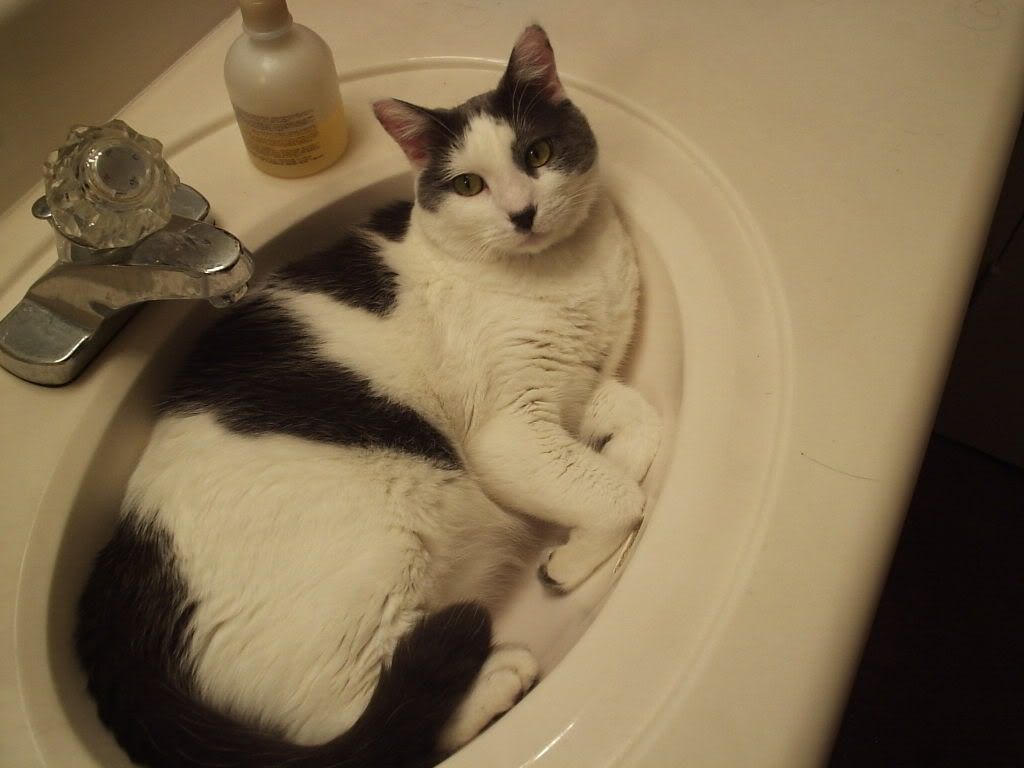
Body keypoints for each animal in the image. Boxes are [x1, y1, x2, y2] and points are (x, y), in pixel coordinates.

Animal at [74, 24, 663, 768]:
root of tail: (122, 576)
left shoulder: (574, 391)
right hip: (378, 549)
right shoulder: (510, 431)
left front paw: (614, 467)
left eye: (538, 153)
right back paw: (496, 679)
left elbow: (641, 424)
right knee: (345, 724)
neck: (561, 274)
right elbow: (619, 497)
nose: (522, 212)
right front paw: (576, 558)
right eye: (469, 184)